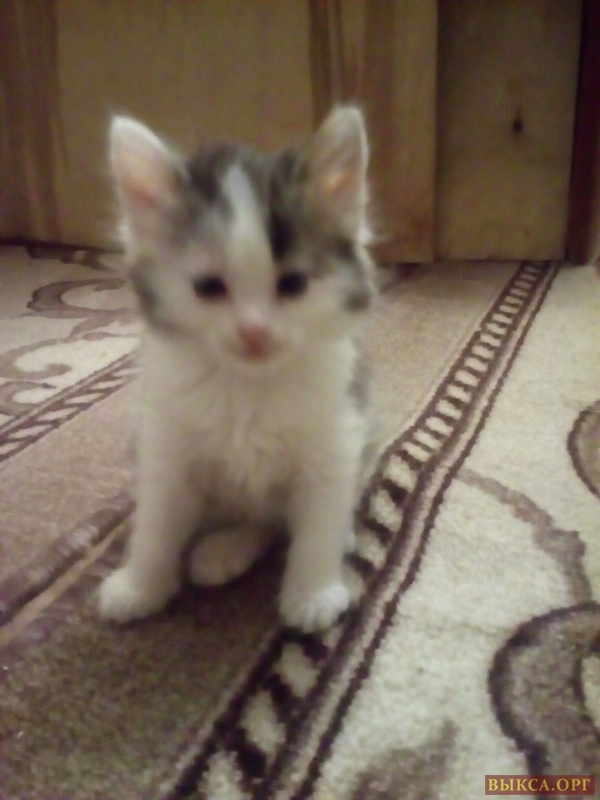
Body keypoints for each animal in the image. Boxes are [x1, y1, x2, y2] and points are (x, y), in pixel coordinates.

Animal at [98, 105, 376, 632]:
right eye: (209, 287)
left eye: (293, 284)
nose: (254, 332)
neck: (250, 385)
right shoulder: (166, 447)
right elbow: (156, 523)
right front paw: (139, 586)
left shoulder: (335, 440)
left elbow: (319, 522)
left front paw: (312, 592)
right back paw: (223, 549)